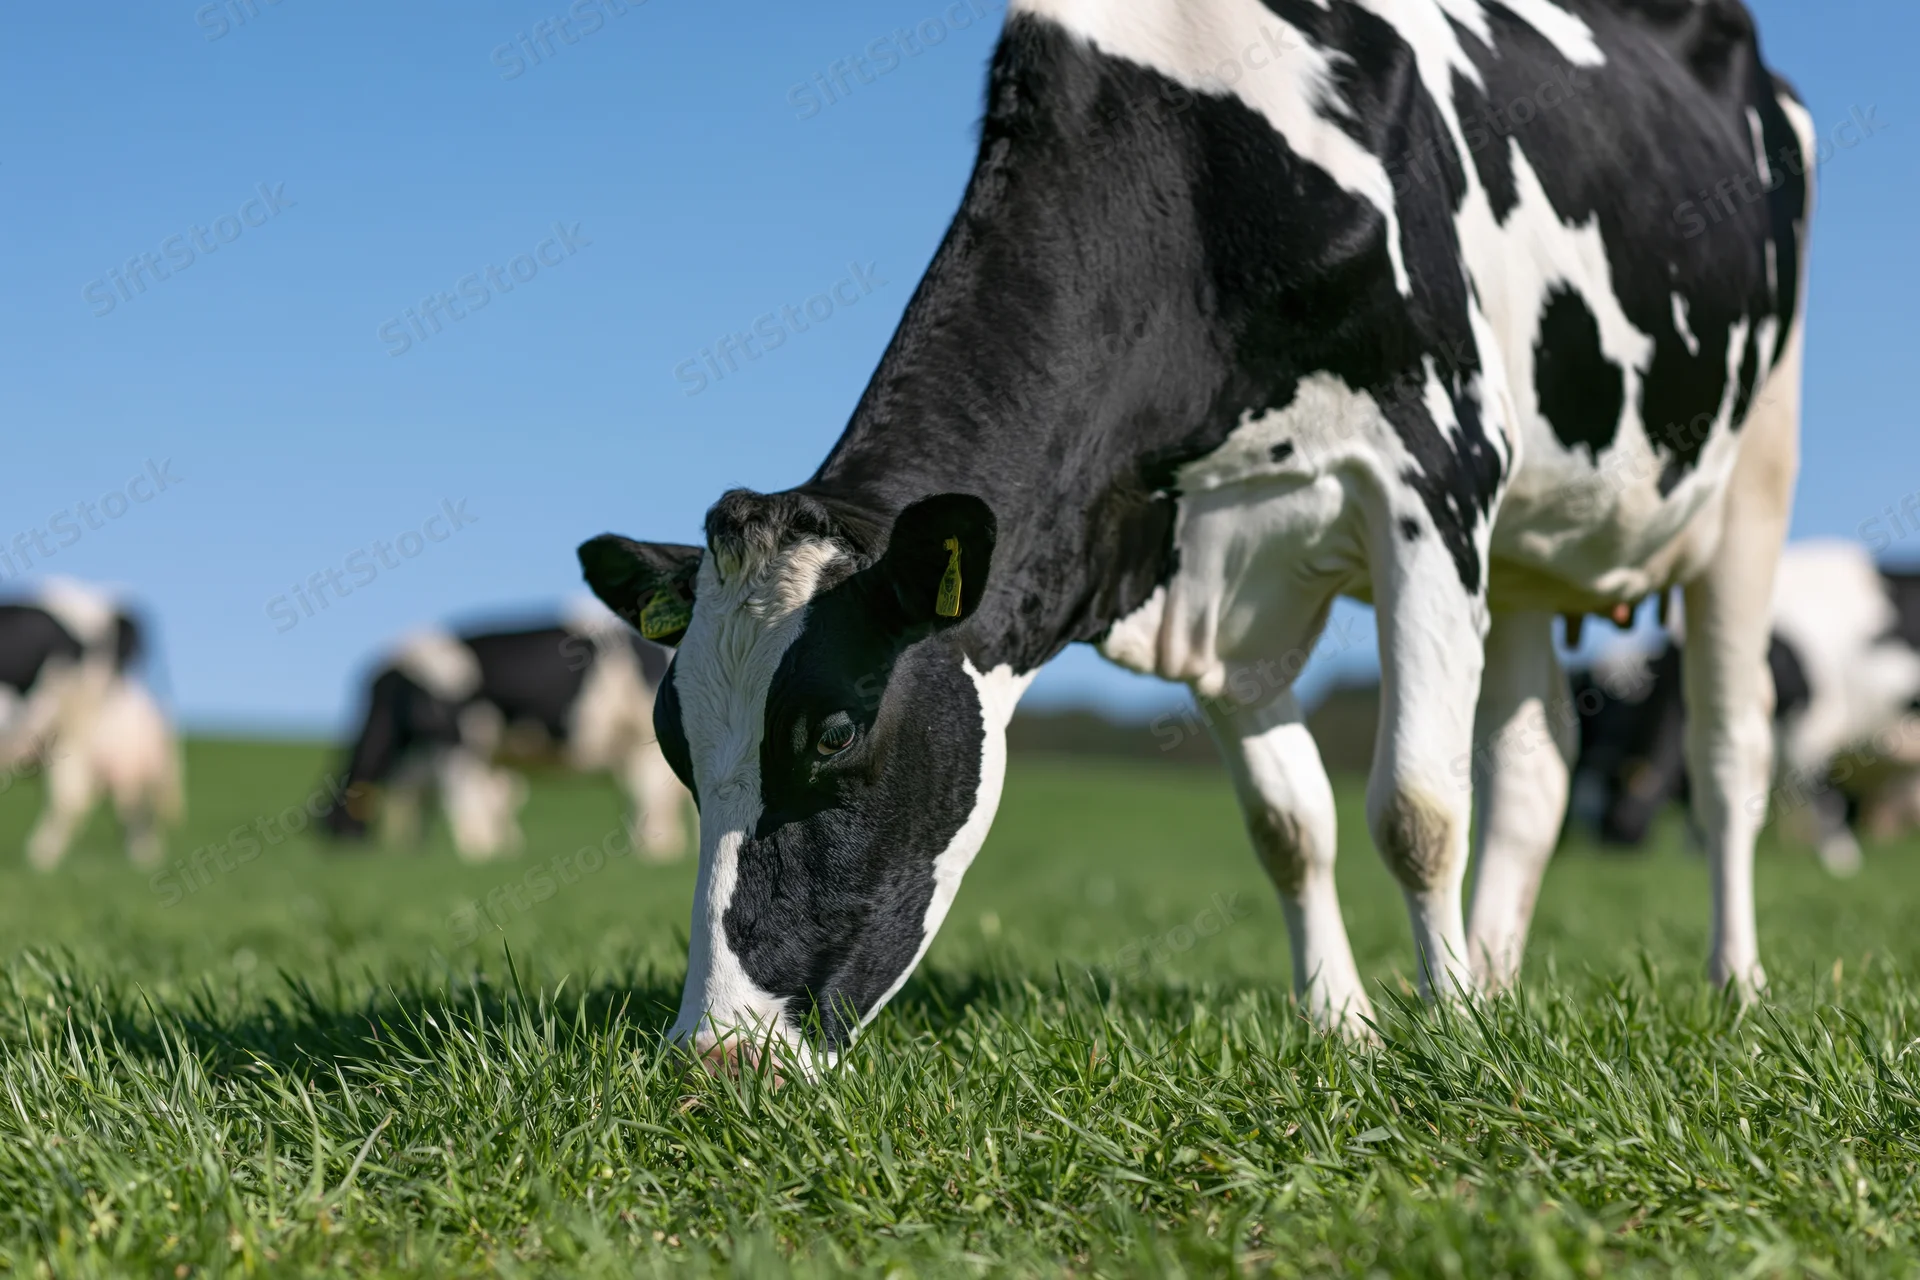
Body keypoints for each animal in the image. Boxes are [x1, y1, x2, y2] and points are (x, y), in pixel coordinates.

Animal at [320, 606, 689, 862]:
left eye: (333, 822)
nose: (337, 855)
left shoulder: (459, 740)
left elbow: (467, 797)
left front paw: (477, 850)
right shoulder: (478, 753)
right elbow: (489, 799)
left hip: (641, 742)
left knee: (650, 794)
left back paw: (660, 851)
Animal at [581, 0, 1815, 1067]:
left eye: (834, 735)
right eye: (675, 744)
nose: (715, 1056)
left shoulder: (1437, 469)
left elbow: (1416, 807)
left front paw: (1450, 1038)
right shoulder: (1211, 572)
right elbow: (1289, 822)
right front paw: (1349, 1028)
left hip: (1754, 473)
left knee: (1726, 754)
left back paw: (1736, 987)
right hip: (1524, 548)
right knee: (1536, 757)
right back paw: (1499, 980)